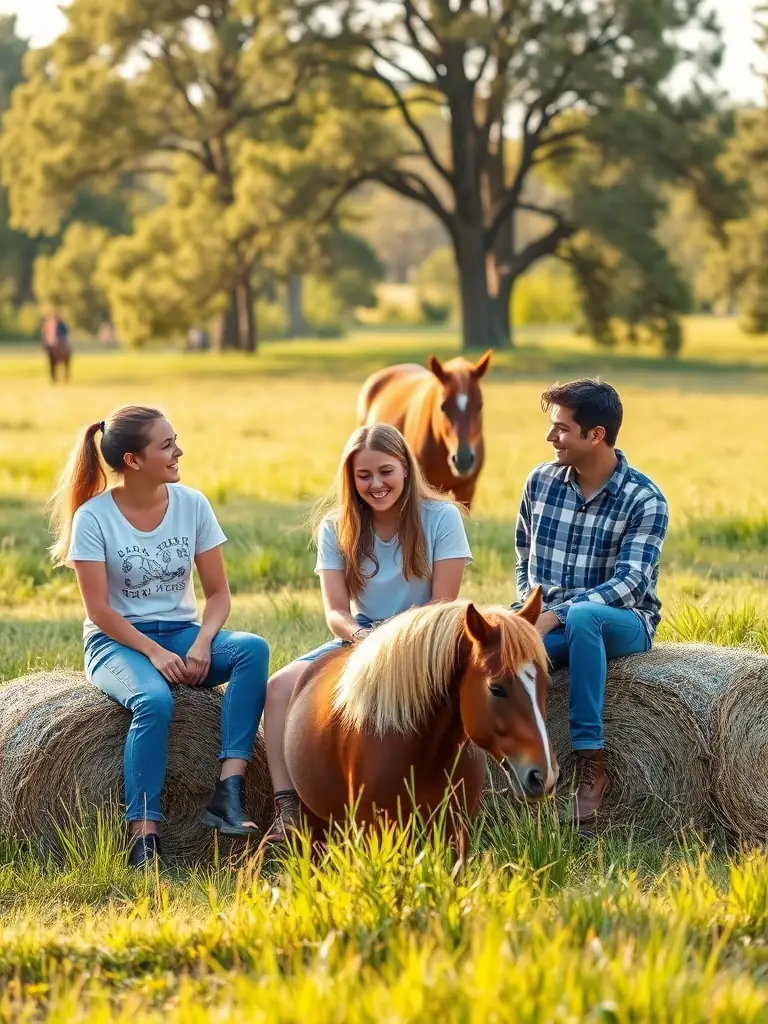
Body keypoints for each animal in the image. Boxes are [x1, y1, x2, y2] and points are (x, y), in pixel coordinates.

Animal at [283, 587, 557, 850]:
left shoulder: (455, 833)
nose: (543, 776)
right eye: (496, 689)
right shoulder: (377, 832)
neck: (423, 754)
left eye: (545, 684)